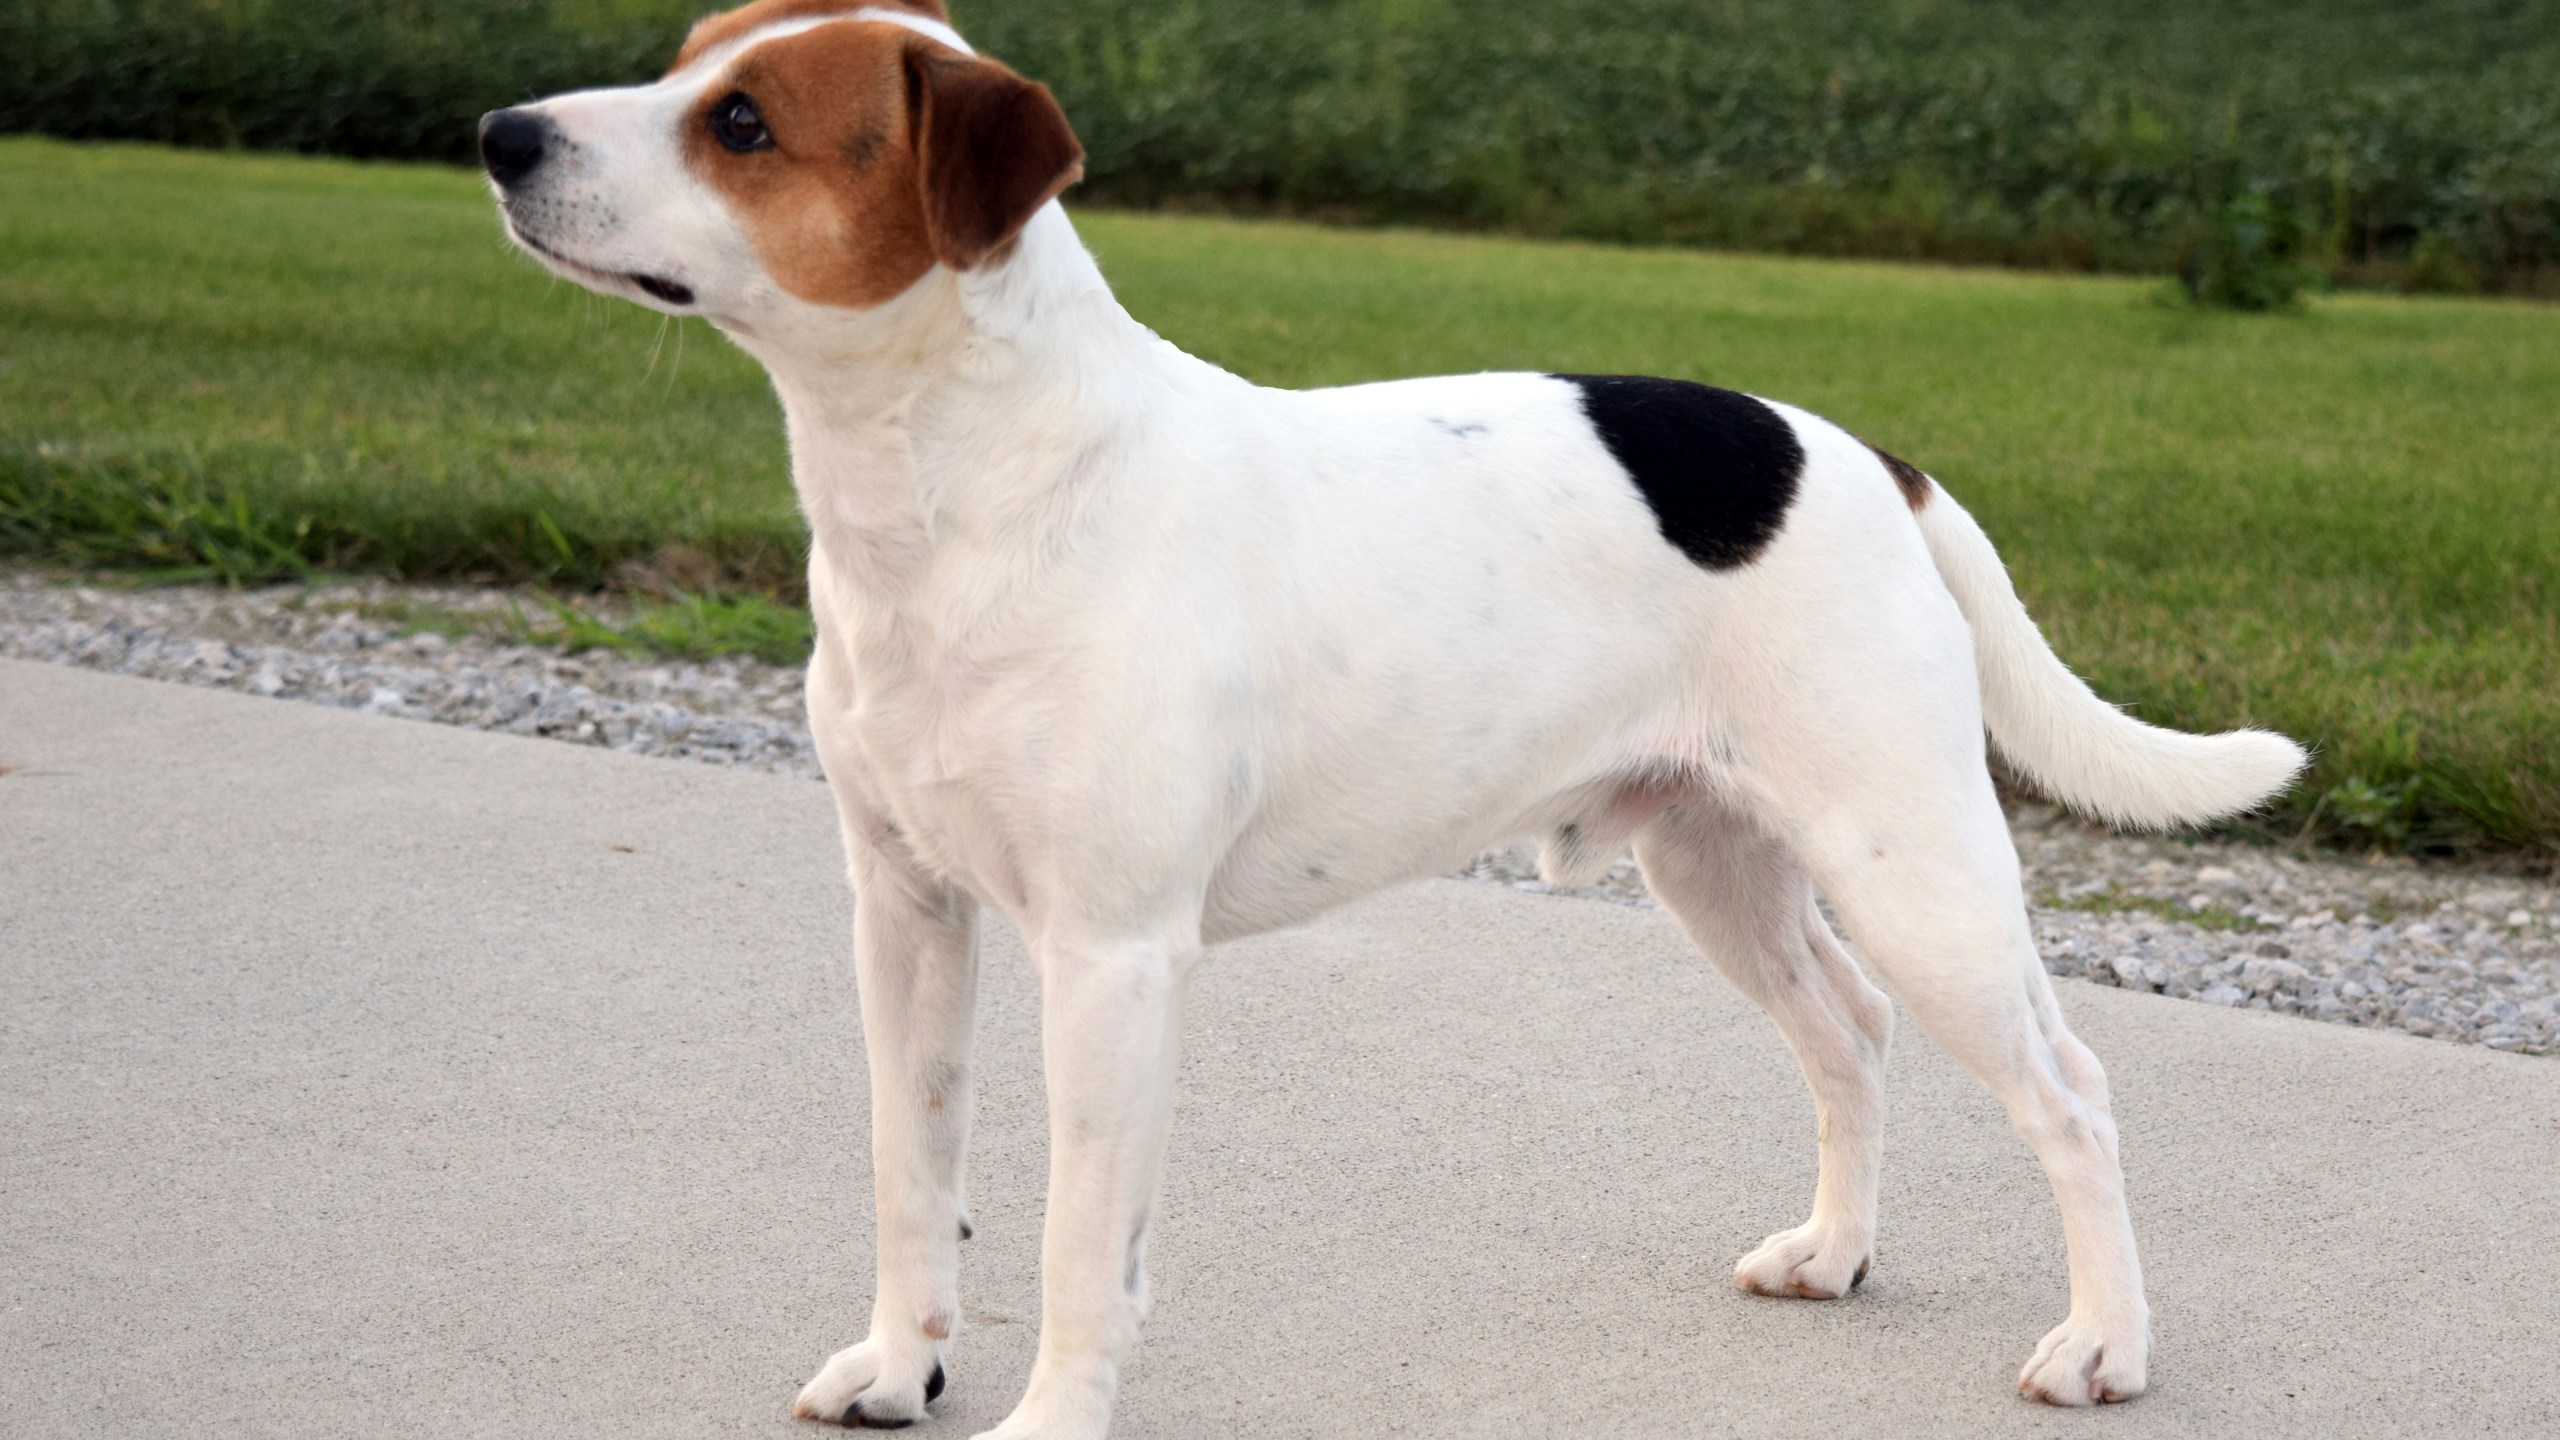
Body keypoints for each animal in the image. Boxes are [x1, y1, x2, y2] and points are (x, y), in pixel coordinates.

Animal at [476, 5, 2304, 1424]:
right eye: (686, 58)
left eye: (743, 121)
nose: (495, 132)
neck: (968, 483)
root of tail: (1864, 451)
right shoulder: (905, 911)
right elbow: (911, 1176)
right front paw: (899, 1370)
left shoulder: (1112, 960)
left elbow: (1078, 1250)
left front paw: (1048, 1419)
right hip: (1721, 865)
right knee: (1848, 1037)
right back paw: (1835, 1254)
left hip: (1912, 869)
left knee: (2072, 1091)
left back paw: (2105, 1345)